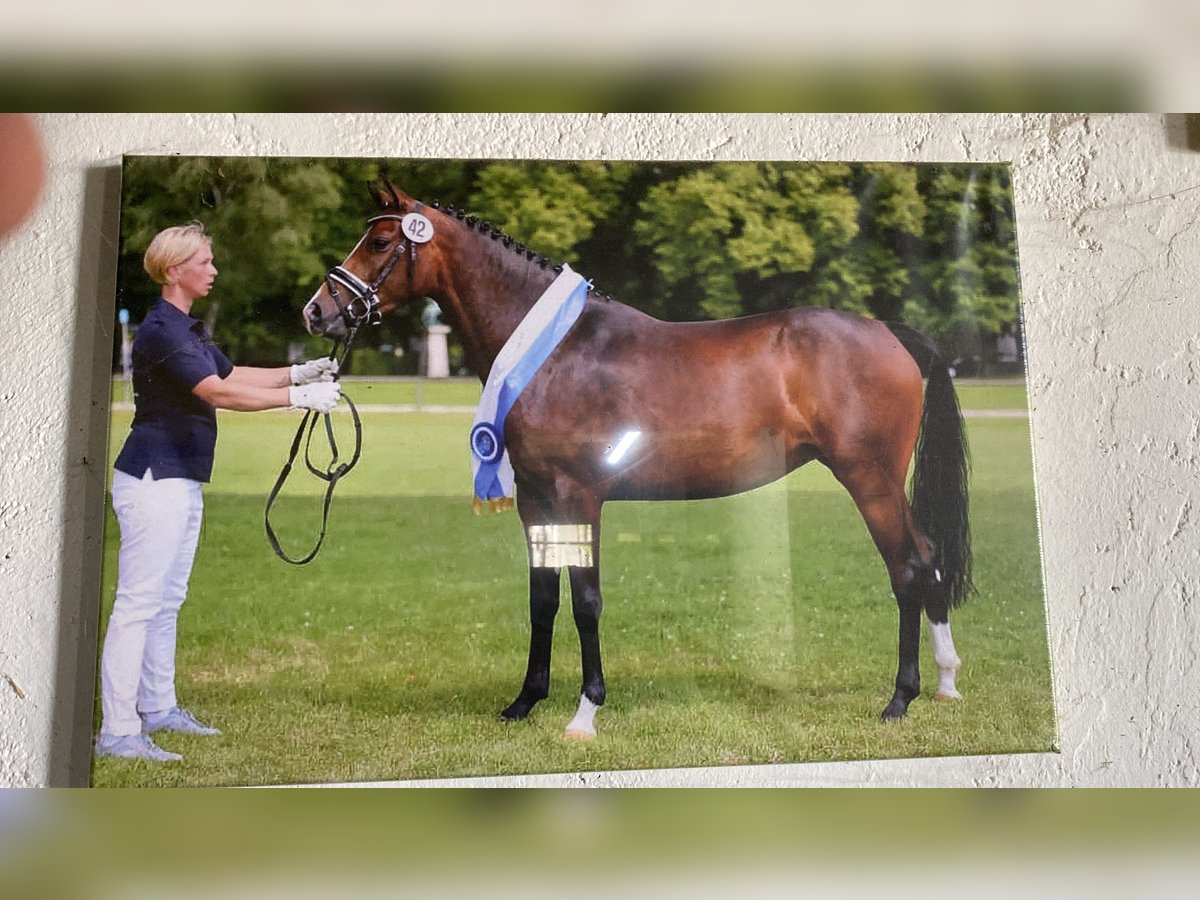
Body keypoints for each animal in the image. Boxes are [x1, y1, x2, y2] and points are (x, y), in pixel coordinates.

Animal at [302, 177, 974, 739]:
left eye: (380, 240)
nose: (317, 311)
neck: (557, 351)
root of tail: (888, 331)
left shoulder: (578, 496)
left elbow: (586, 601)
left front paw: (585, 712)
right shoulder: (535, 499)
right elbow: (543, 598)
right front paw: (525, 702)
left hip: (870, 480)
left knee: (909, 567)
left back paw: (900, 699)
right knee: (930, 560)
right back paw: (945, 683)